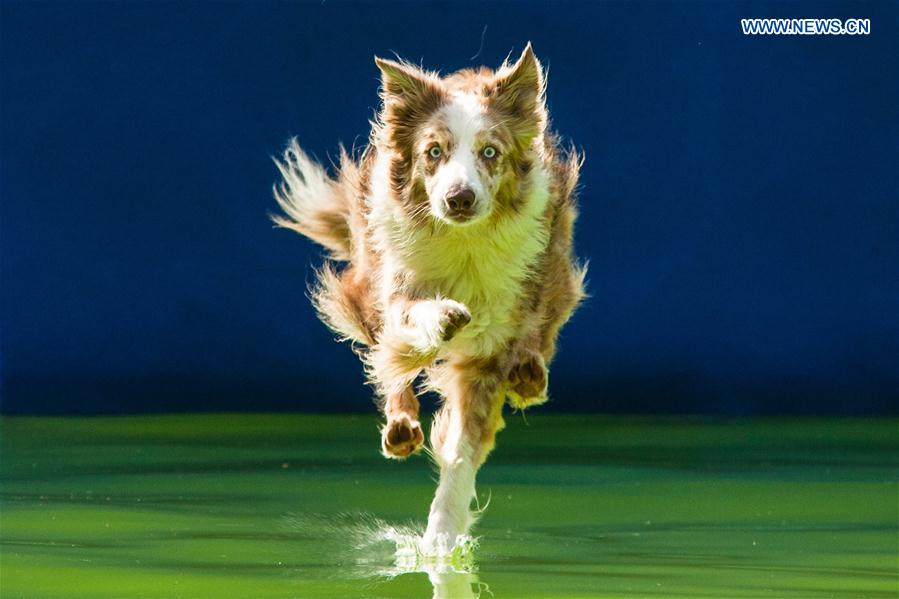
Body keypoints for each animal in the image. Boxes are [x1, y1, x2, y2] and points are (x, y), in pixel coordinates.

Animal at [270, 43, 588, 552]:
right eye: (433, 152)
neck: (464, 243)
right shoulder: (397, 285)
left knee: (543, 328)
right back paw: (401, 424)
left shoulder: (491, 348)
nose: (459, 198)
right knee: (386, 358)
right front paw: (442, 318)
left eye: (490, 153)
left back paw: (529, 374)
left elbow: (461, 452)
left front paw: (441, 540)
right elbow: (409, 324)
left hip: (551, 266)